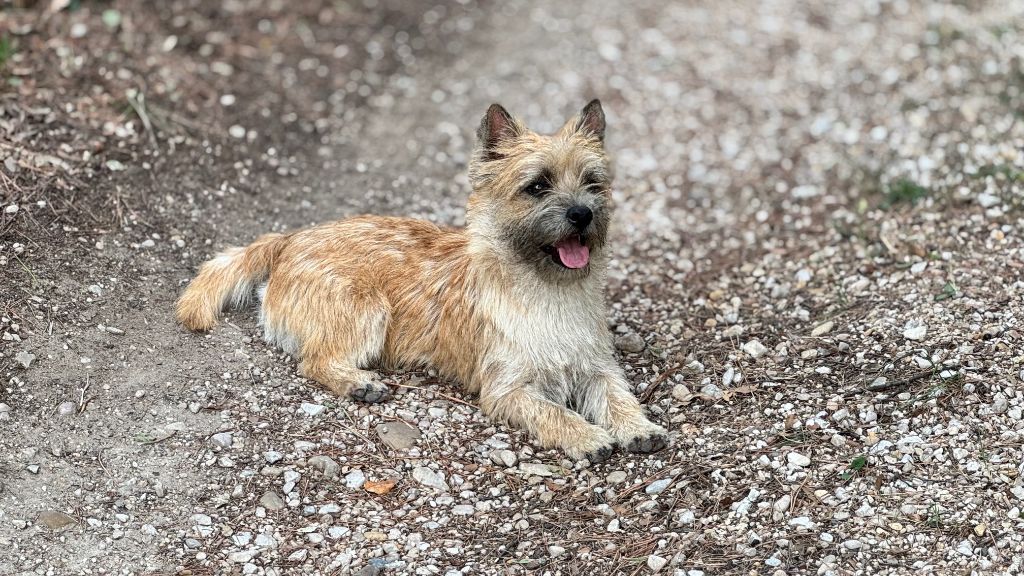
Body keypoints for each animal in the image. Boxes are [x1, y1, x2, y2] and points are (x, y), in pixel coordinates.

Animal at [178, 99, 663, 461]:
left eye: (593, 182)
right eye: (538, 186)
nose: (582, 214)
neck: (546, 290)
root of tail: (290, 240)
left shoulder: (596, 367)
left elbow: (618, 395)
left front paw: (639, 426)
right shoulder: (509, 389)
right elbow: (553, 413)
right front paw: (586, 435)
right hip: (365, 306)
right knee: (314, 361)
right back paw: (359, 383)